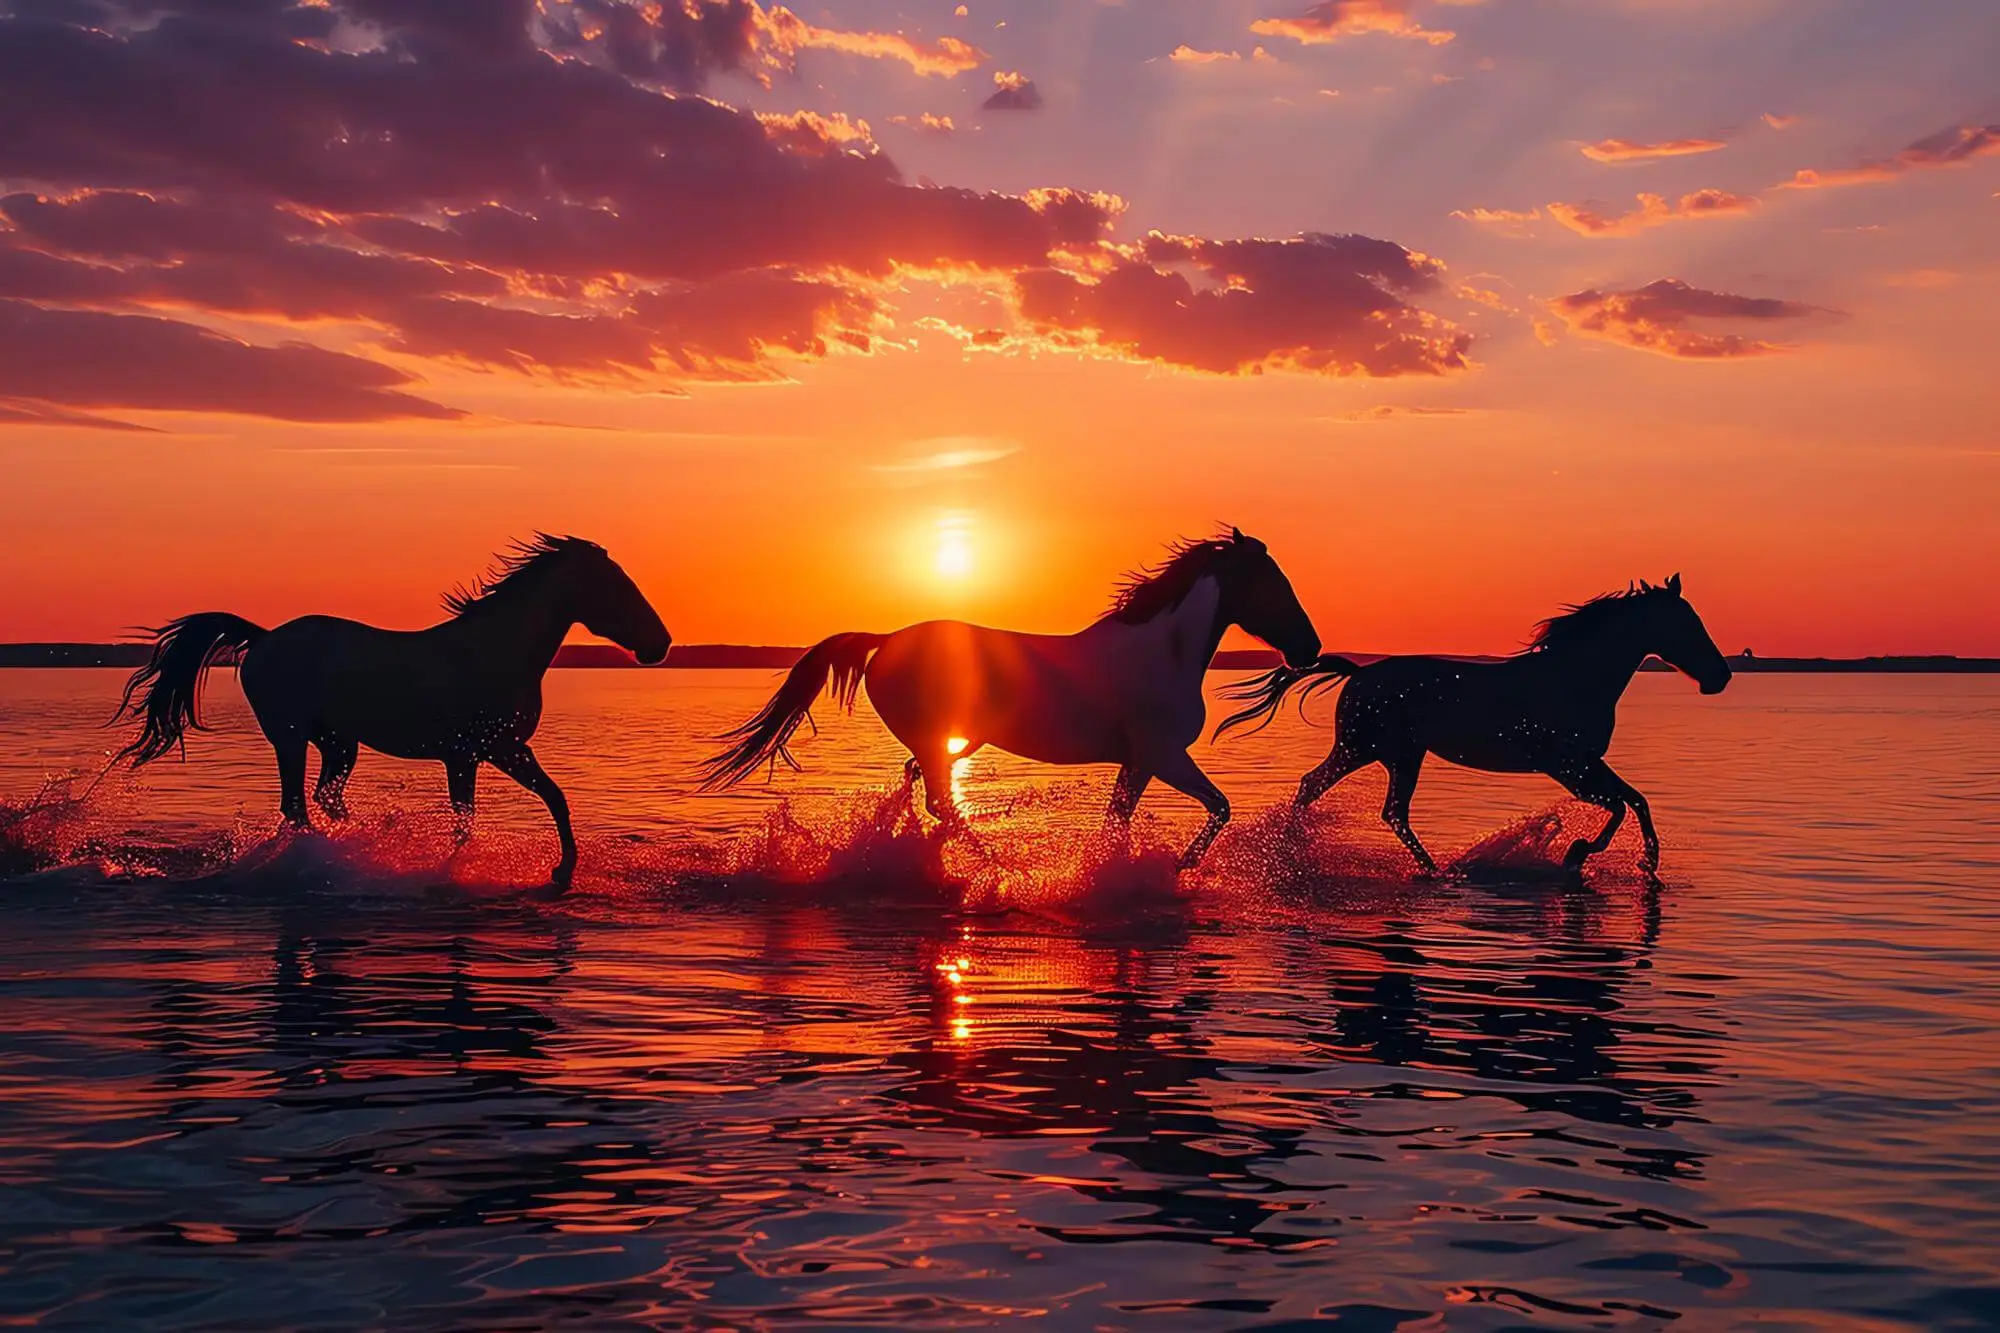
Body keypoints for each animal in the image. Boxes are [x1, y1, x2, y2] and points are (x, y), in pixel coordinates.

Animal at [121, 528, 676, 880]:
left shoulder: (493, 752)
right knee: (296, 806)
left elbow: (540, 801)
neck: (496, 650)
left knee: (323, 798)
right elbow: (479, 816)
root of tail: (263, 638)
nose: (662, 645)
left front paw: (559, 869)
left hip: (338, 743)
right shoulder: (481, 752)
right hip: (290, 737)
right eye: (619, 587)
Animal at [696, 524, 1320, 868]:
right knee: (940, 802)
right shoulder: (1164, 755)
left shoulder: (1140, 761)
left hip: (950, 740)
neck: (1163, 652)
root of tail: (886, 640)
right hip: (936, 737)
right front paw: (1178, 869)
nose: (1310, 648)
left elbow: (1118, 822)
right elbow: (1220, 806)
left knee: (921, 790)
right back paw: (991, 865)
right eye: (1273, 585)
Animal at [1208, 572, 1728, 872]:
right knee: (1352, 798)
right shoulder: (1569, 766)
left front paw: (1645, 863)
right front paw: (1579, 853)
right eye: (1686, 623)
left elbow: (1636, 800)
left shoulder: (1585, 764)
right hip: (1372, 750)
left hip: (1389, 754)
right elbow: (1621, 805)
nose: (1720, 677)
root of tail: (1358, 673)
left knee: (1355, 800)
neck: (1576, 674)